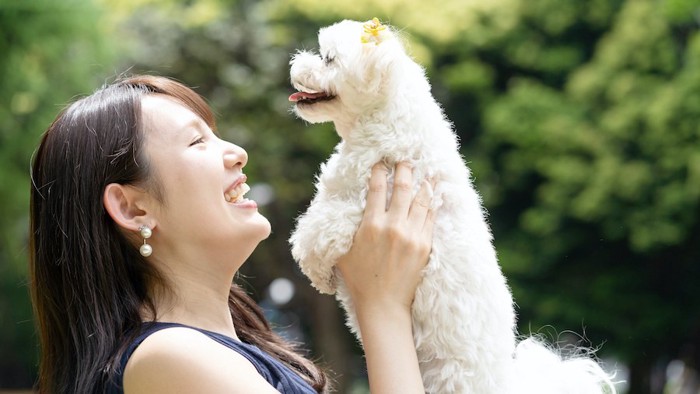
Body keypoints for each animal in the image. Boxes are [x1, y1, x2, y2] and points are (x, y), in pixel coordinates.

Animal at [288, 19, 616, 394]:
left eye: (328, 59)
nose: (295, 63)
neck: (387, 123)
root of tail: (505, 381)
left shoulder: (362, 204)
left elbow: (315, 233)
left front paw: (318, 273)